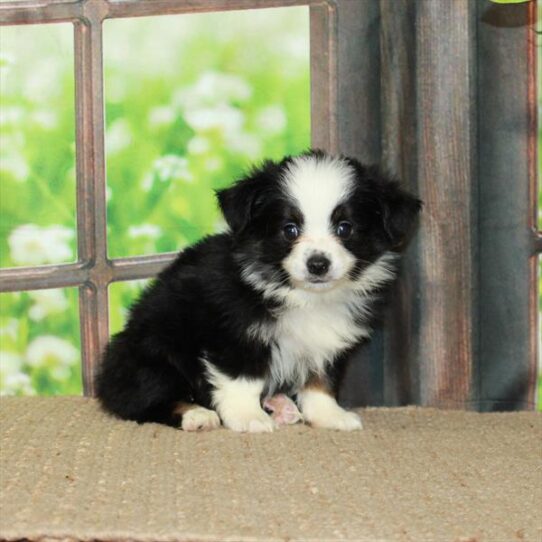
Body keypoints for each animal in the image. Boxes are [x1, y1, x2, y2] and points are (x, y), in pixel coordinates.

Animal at [95, 151, 422, 436]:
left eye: (345, 228)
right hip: (151, 354)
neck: (300, 294)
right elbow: (243, 378)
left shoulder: (326, 342)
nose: (318, 264)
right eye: (289, 229)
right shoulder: (234, 334)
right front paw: (247, 417)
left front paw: (329, 415)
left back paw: (279, 405)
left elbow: (321, 380)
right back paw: (196, 414)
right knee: (144, 399)